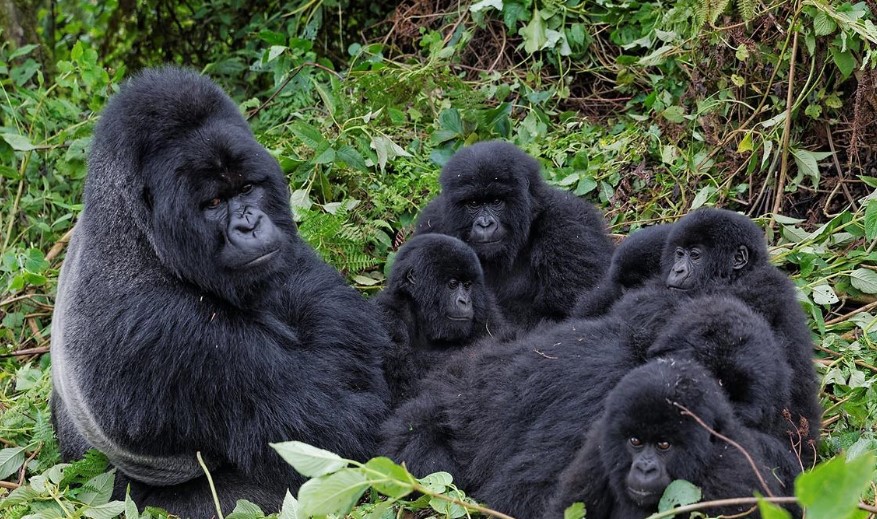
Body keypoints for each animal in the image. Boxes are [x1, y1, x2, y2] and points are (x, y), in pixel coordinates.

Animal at [49, 66, 388, 516]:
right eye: (213, 202)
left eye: (246, 189)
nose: (249, 224)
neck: (138, 236)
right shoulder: (167, 332)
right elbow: (338, 433)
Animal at [372, 234, 510, 404]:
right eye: (453, 284)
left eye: (467, 285)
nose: (465, 301)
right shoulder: (387, 314)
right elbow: (405, 379)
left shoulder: (486, 310)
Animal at [416, 141, 608, 330]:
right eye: (473, 203)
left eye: (496, 201)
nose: (485, 224)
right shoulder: (433, 222)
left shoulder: (567, 224)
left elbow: (564, 315)